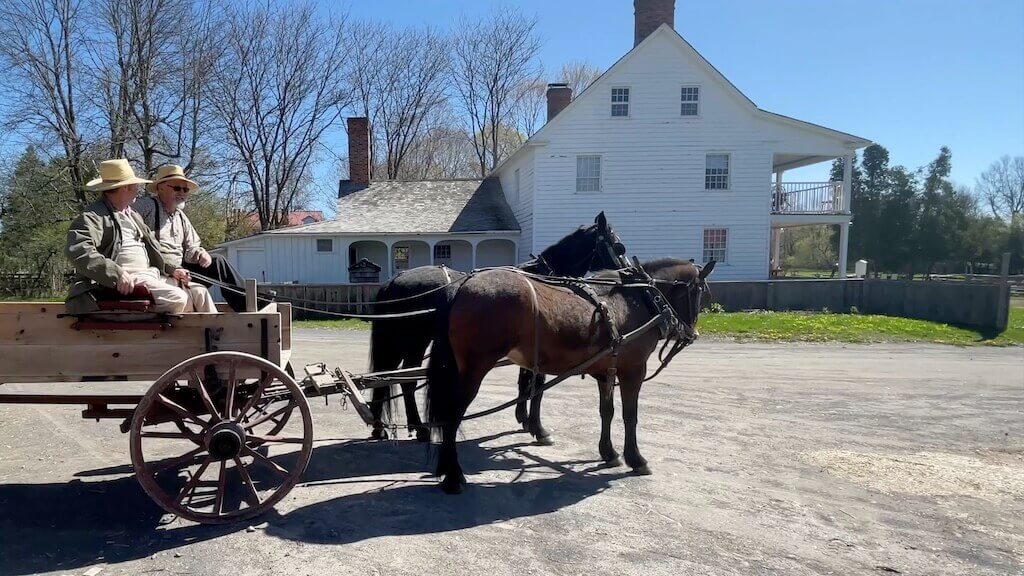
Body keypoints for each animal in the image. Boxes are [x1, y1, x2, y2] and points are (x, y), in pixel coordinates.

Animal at [368, 211, 622, 438]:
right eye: (619, 246)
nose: (625, 273)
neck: (541, 277)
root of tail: (394, 280)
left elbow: (524, 381)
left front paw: (523, 418)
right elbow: (536, 383)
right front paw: (538, 428)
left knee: (388, 377)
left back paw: (384, 427)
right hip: (414, 340)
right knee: (407, 381)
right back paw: (418, 428)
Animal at [421, 258, 712, 491]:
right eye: (700, 291)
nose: (691, 333)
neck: (635, 299)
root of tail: (460, 285)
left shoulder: (606, 370)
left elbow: (607, 412)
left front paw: (609, 452)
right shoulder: (634, 370)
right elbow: (631, 416)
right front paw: (636, 458)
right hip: (473, 370)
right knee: (452, 415)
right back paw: (453, 476)